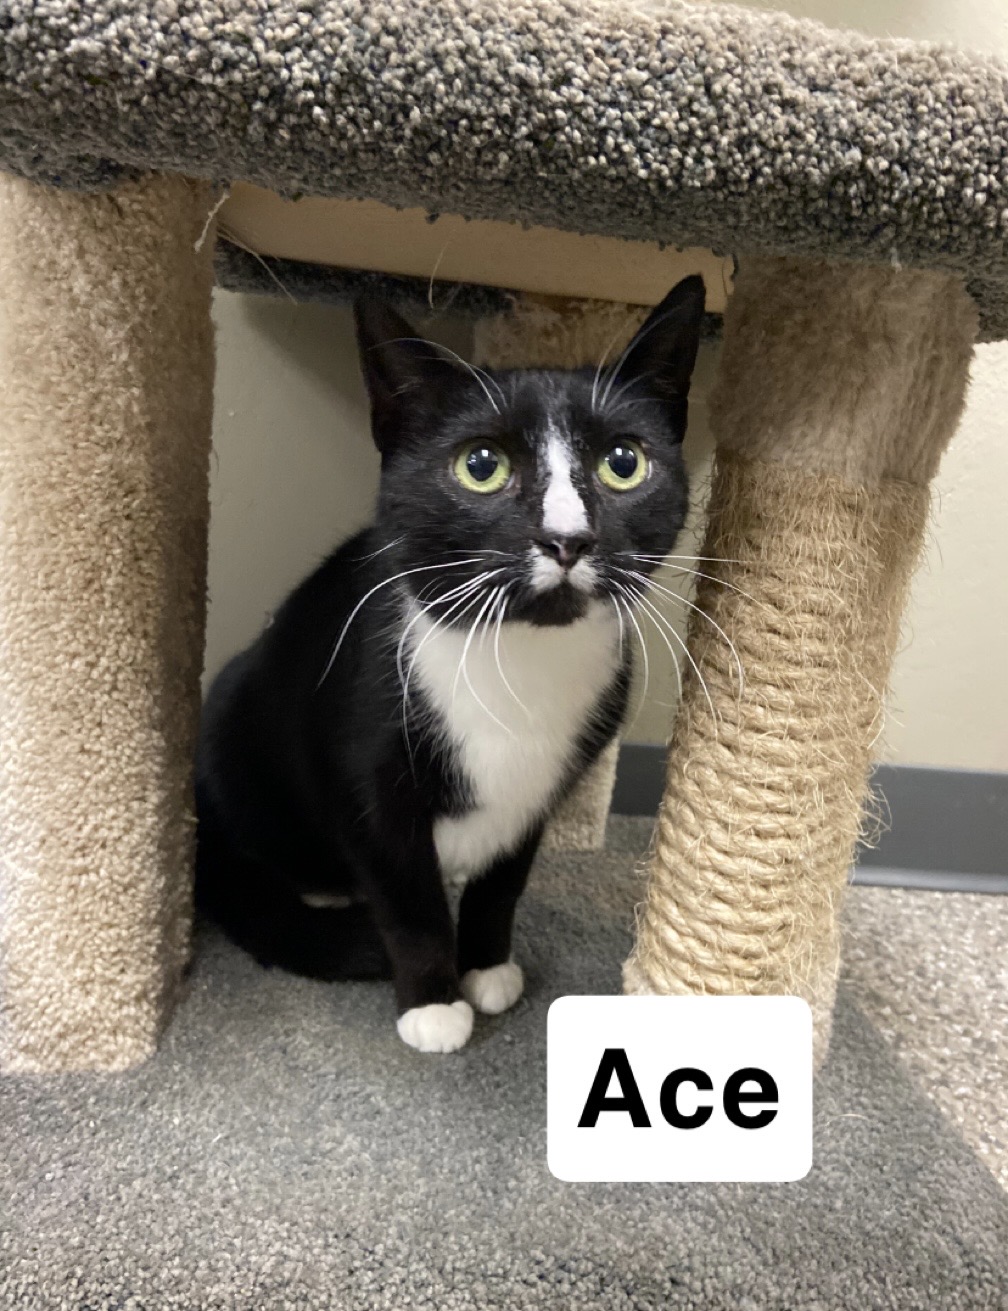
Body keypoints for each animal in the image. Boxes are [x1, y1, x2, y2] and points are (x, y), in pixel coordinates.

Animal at [194, 274, 705, 1053]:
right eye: (481, 466)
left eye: (624, 463)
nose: (567, 539)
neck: (519, 664)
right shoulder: (368, 770)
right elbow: (410, 903)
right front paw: (433, 1004)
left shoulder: (540, 788)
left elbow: (503, 882)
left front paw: (487, 967)